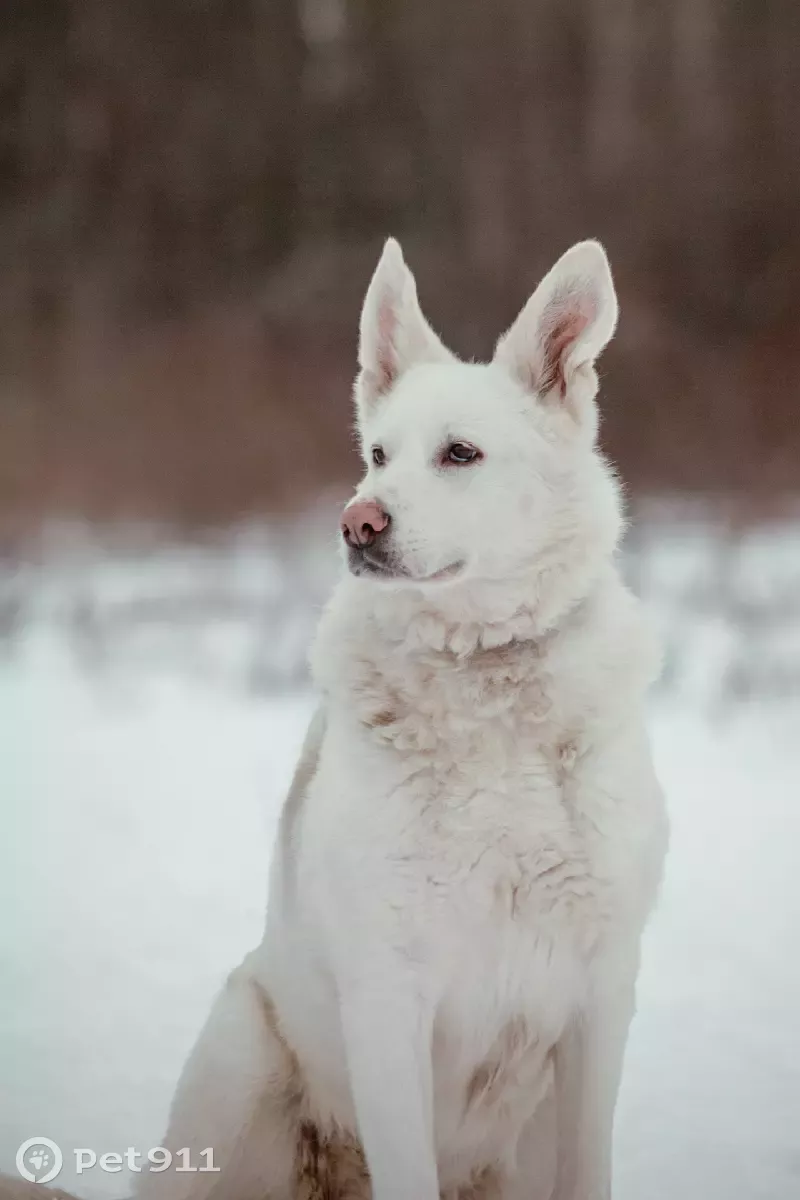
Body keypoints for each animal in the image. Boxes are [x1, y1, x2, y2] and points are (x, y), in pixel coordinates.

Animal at [137, 236, 671, 1200]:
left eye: (460, 453)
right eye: (378, 454)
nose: (357, 521)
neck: (482, 671)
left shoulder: (601, 996)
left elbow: (590, 1167)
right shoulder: (388, 999)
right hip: (240, 1051)